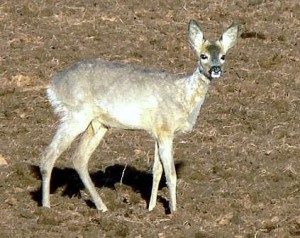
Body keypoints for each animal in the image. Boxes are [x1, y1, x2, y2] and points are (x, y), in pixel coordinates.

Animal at [39, 20, 240, 214]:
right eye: (203, 56)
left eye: (223, 56)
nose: (216, 69)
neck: (184, 96)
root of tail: (53, 86)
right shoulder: (165, 129)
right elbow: (171, 174)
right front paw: (174, 212)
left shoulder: (157, 131)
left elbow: (157, 171)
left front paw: (150, 209)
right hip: (75, 115)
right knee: (48, 155)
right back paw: (46, 208)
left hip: (98, 124)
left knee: (78, 158)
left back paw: (102, 207)